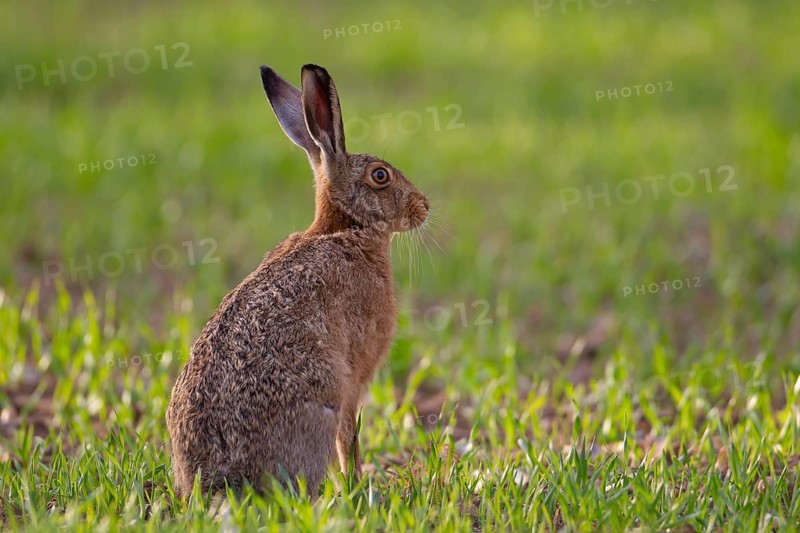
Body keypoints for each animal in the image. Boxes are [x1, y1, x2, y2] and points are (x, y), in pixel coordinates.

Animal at [166, 63, 429, 499]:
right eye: (380, 175)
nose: (424, 206)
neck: (346, 228)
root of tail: (219, 481)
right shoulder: (352, 380)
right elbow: (349, 437)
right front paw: (356, 485)